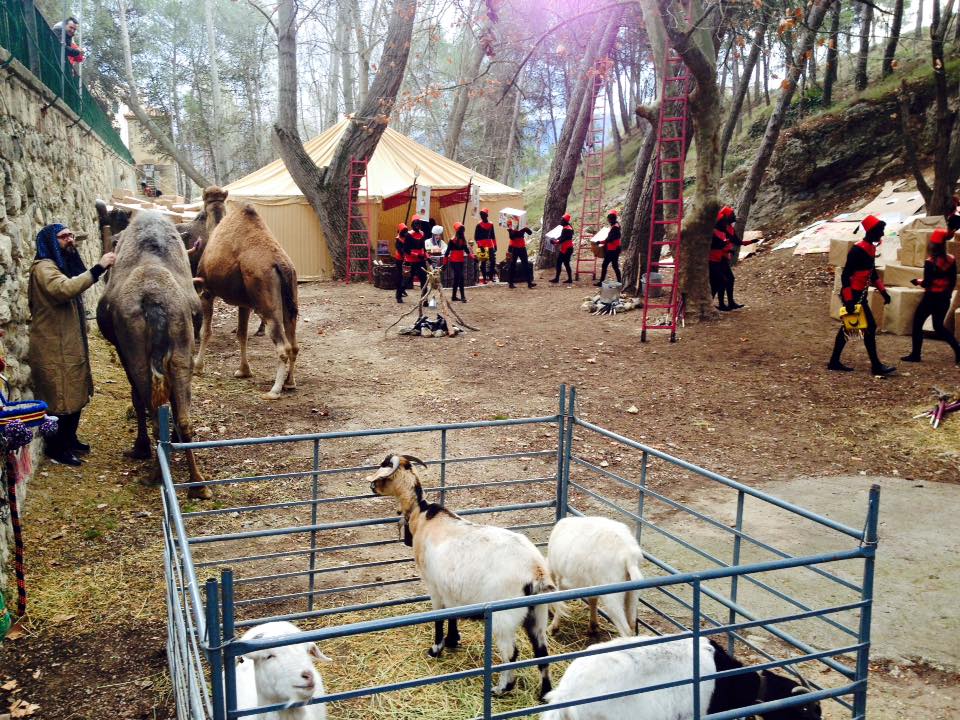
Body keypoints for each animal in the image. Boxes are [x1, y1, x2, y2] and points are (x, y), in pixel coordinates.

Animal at [96, 211, 211, 500]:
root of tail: (154, 302)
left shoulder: (122, 351)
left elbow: (136, 399)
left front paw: (139, 447)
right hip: (182, 348)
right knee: (183, 415)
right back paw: (198, 484)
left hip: (136, 354)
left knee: (149, 404)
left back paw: (155, 473)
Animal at [193, 202, 299, 400]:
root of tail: (281, 265)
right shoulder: (245, 304)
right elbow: (242, 334)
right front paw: (243, 371)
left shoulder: (206, 292)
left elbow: (206, 331)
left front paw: (197, 367)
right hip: (290, 303)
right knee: (294, 344)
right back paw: (290, 382)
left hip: (266, 305)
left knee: (283, 347)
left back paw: (274, 391)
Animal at [367, 453, 555, 699]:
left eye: (384, 466)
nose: (371, 486)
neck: (423, 516)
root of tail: (536, 571)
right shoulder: (451, 589)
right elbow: (453, 614)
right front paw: (453, 640)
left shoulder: (434, 586)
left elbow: (439, 617)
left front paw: (436, 649)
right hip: (538, 613)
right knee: (542, 651)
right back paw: (546, 694)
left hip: (504, 617)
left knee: (511, 654)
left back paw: (501, 688)